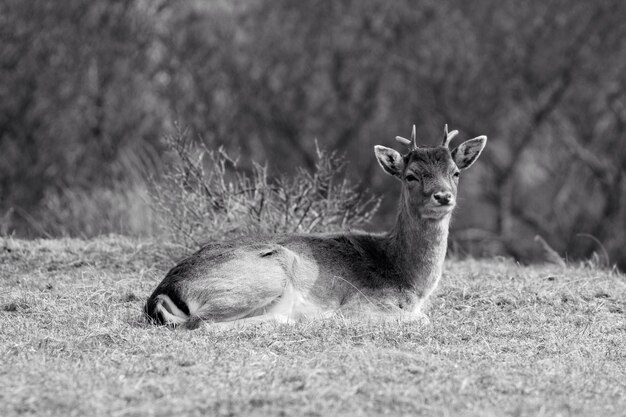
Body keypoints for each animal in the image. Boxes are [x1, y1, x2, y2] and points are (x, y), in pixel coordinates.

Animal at [144, 125, 486, 326]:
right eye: (411, 175)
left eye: (455, 172)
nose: (443, 196)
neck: (407, 279)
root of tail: (163, 292)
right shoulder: (363, 304)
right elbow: (421, 320)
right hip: (267, 273)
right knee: (199, 322)